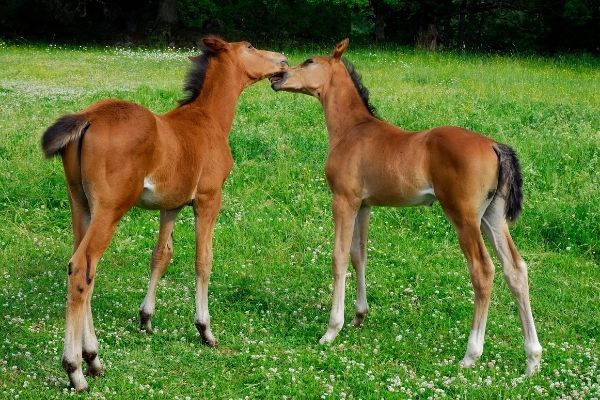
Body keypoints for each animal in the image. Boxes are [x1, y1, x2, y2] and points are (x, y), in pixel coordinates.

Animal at [40, 37, 288, 390]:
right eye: (251, 47)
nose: (282, 61)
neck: (207, 119)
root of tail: (87, 117)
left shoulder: (171, 205)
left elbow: (161, 255)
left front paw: (146, 318)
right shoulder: (209, 199)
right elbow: (203, 260)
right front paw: (205, 329)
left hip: (81, 205)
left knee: (85, 270)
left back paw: (92, 359)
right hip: (110, 209)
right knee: (82, 268)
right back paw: (77, 368)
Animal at [272, 39, 544, 376]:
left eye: (309, 61)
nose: (277, 77)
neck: (352, 130)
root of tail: (494, 146)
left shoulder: (343, 200)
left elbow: (339, 257)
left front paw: (331, 330)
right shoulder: (364, 205)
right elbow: (359, 255)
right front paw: (359, 315)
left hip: (464, 217)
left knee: (483, 270)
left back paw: (471, 354)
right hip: (492, 218)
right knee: (516, 269)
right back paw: (532, 359)